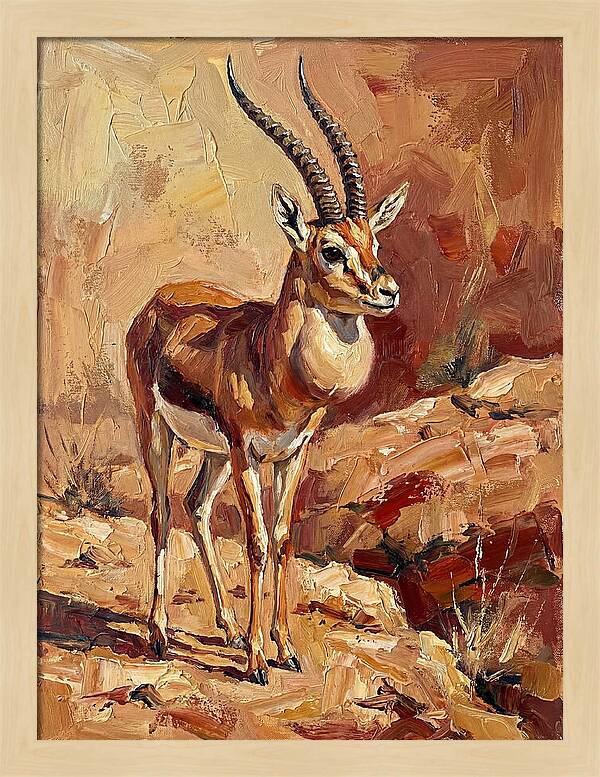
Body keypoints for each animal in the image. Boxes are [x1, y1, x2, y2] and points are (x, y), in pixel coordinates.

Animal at [126, 55, 409, 685]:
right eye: (331, 249)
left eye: (373, 241)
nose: (387, 291)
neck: (274, 368)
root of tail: (157, 298)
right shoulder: (248, 452)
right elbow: (255, 541)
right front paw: (257, 660)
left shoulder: (292, 453)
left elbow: (280, 539)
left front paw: (285, 648)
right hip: (158, 430)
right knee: (161, 511)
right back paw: (161, 635)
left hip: (211, 454)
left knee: (197, 508)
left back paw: (228, 628)